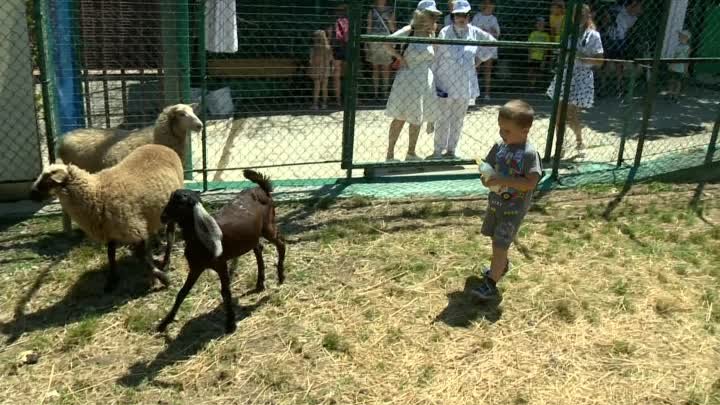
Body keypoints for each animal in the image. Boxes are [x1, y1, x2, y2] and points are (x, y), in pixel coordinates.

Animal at [28, 142, 186, 290]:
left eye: (47, 182)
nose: (31, 195)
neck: (97, 192)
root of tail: (162, 146)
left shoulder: (134, 229)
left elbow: (142, 258)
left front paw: (162, 278)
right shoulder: (110, 231)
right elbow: (111, 255)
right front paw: (112, 280)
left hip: (172, 210)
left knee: (170, 237)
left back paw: (166, 262)